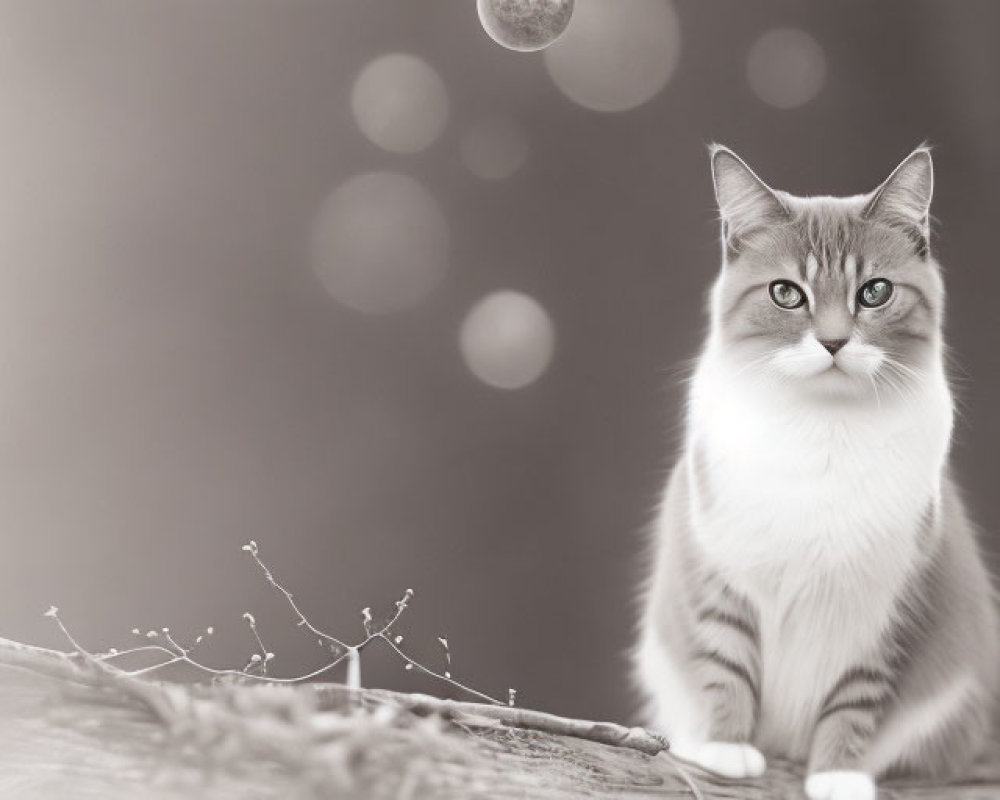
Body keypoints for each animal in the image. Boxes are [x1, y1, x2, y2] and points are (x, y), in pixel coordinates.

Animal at [636, 145, 996, 800]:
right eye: (786, 293)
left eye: (874, 292)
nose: (832, 342)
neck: (823, 429)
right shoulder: (717, 564)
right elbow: (725, 661)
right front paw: (726, 748)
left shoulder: (884, 601)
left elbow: (854, 698)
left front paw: (836, 775)